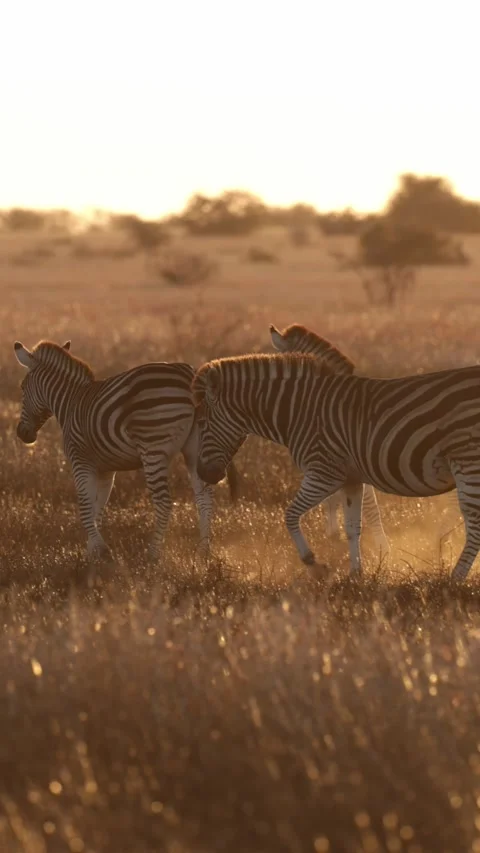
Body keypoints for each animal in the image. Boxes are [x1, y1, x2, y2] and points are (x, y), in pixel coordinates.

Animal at [14, 339, 238, 562]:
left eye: (22, 388)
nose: (22, 433)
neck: (71, 401)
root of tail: (187, 373)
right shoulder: (105, 469)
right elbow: (98, 508)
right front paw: (92, 555)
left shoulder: (80, 460)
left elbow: (85, 508)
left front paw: (101, 550)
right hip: (197, 446)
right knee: (205, 498)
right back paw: (203, 552)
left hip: (153, 448)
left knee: (164, 503)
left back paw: (152, 555)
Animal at [193, 352, 480, 581]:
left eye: (203, 421)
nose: (206, 474)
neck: (298, 411)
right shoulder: (351, 479)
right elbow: (353, 528)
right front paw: (356, 576)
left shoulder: (324, 472)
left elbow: (290, 515)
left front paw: (314, 564)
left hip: (468, 461)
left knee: (475, 525)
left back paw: (454, 580)